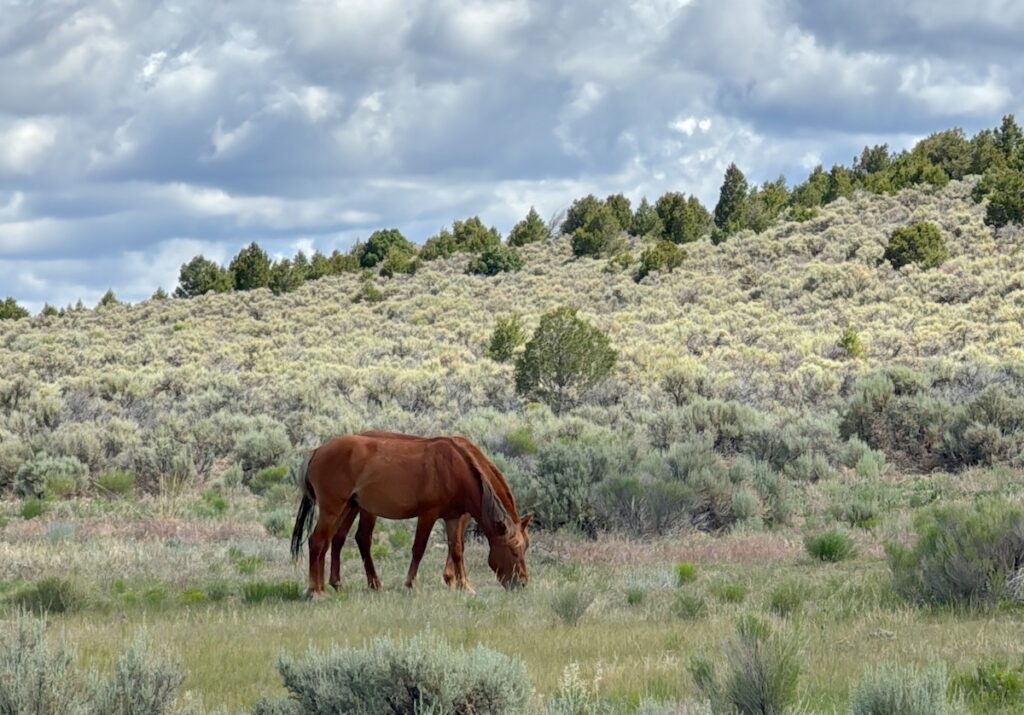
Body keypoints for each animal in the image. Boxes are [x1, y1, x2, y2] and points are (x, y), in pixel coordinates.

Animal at [291, 432, 531, 595]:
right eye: (513, 550)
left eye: (524, 549)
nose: (522, 583)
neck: (457, 467)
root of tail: (317, 451)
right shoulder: (428, 514)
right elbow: (418, 549)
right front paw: (410, 584)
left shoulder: (453, 517)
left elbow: (457, 550)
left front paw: (464, 585)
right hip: (333, 508)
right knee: (318, 541)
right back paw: (316, 591)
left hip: (348, 507)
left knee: (332, 541)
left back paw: (332, 585)